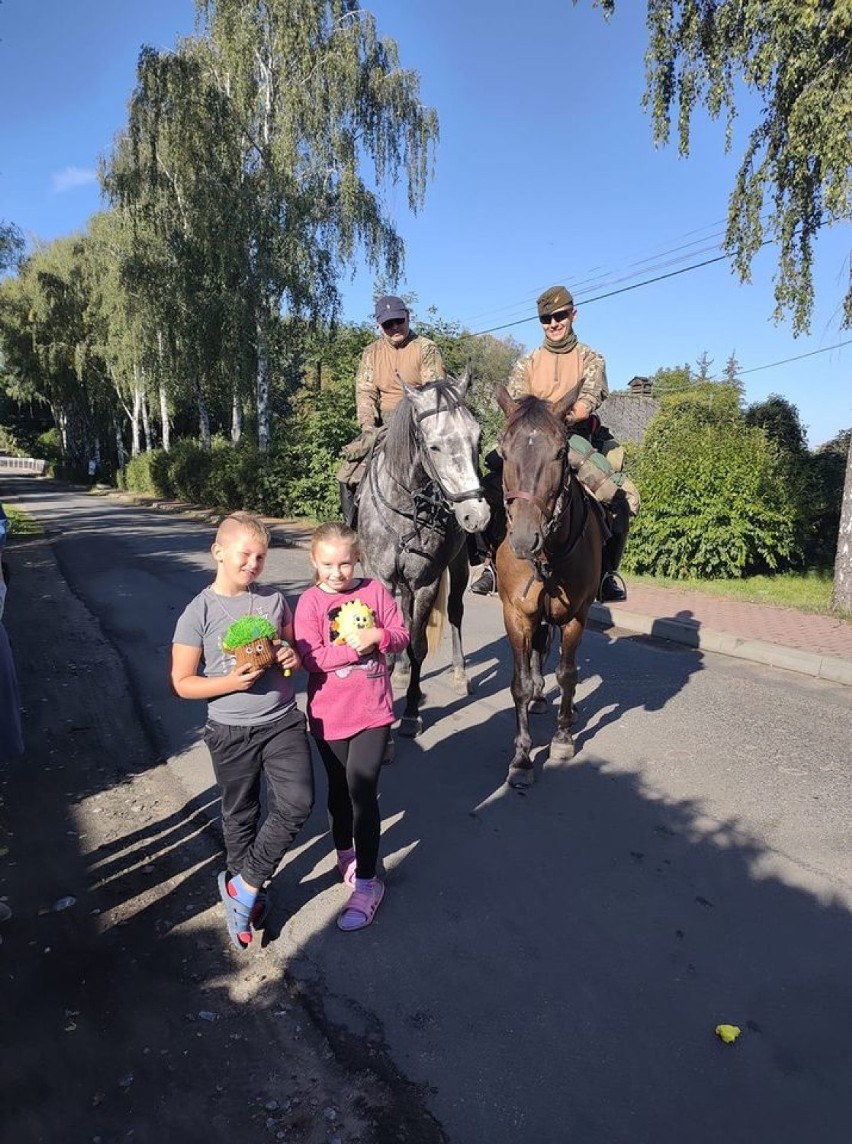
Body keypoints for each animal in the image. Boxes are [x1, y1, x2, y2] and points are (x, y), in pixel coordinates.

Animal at [354, 370, 489, 736]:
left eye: (477, 438)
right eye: (434, 445)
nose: (476, 515)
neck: (405, 505)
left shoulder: (427, 582)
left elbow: (418, 646)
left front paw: (411, 713)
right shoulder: (382, 579)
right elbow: (386, 644)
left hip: (457, 568)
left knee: (454, 612)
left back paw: (459, 674)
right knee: (404, 616)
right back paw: (401, 673)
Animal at [491, 384, 603, 787]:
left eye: (561, 452)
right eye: (504, 452)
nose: (525, 539)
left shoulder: (576, 616)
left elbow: (567, 674)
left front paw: (563, 737)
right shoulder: (516, 615)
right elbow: (520, 683)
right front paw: (522, 758)